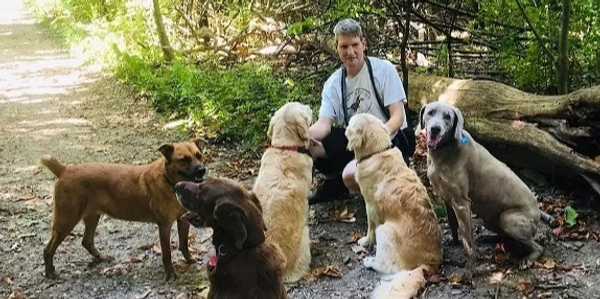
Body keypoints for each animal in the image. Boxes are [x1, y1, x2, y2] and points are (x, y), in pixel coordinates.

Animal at [39, 141, 206, 282]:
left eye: (199, 155)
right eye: (184, 159)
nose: (202, 170)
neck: (170, 181)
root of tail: (64, 170)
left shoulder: (183, 220)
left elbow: (184, 244)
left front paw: (189, 260)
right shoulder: (164, 226)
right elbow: (167, 254)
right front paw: (170, 273)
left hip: (92, 216)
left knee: (86, 241)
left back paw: (101, 257)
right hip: (66, 221)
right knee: (48, 249)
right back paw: (50, 272)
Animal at [346, 113, 440, 298]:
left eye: (351, 122)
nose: (344, 125)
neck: (377, 152)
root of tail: (428, 263)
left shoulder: (370, 206)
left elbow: (370, 228)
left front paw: (365, 241)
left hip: (385, 230)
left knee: (388, 267)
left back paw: (370, 261)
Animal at [420, 102, 552, 280]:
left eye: (447, 117)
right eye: (431, 112)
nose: (435, 129)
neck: (444, 151)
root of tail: (538, 213)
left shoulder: (462, 204)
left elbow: (468, 243)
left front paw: (470, 271)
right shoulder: (448, 200)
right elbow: (453, 226)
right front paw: (454, 242)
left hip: (508, 219)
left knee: (536, 246)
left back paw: (527, 260)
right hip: (488, 219)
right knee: (505, 237)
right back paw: (488, 238)